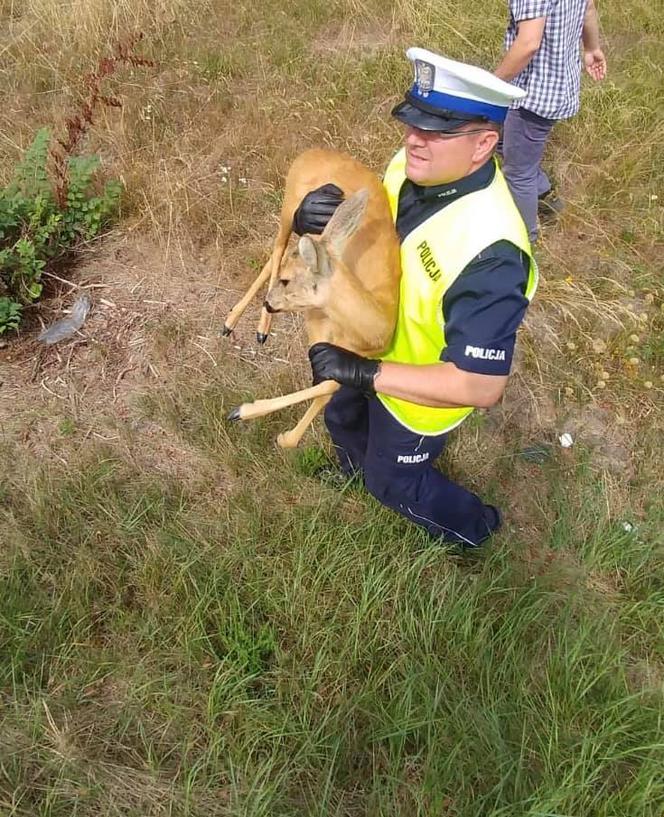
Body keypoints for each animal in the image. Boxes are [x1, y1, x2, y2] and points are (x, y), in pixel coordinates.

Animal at [223, 150, 400, 450]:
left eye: (287, 282)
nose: (269, 302)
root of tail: (314, 151)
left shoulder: (346, 355)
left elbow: (328, 386)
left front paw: (286, 438)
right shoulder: (318, 325)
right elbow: (324, 385)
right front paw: (242, 411)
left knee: (278, 255)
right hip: (289, 205)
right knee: (278, 247)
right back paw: (253, 327)